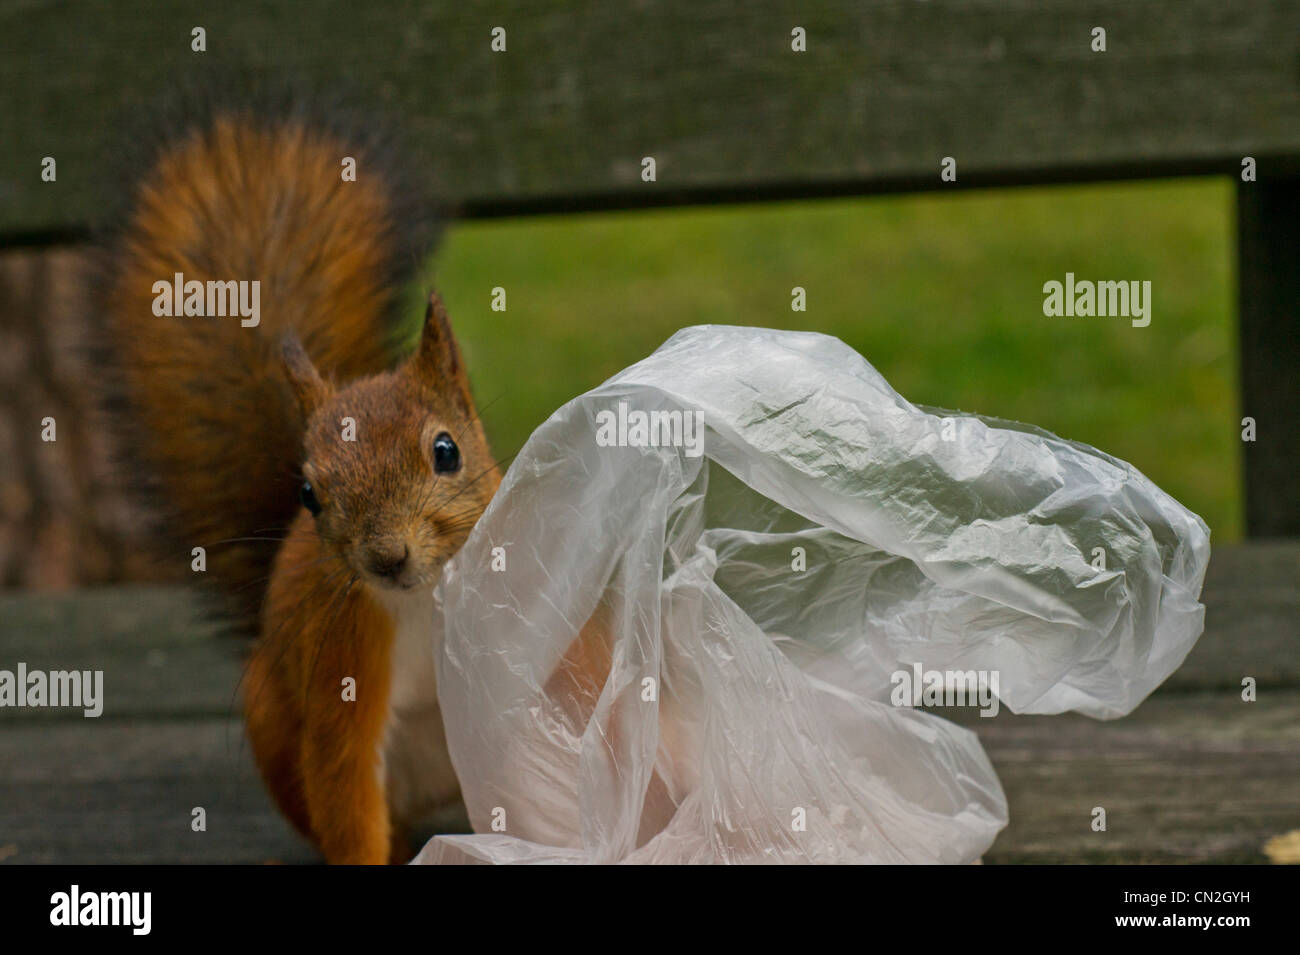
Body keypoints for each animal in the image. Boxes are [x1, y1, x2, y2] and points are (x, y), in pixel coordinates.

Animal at [95, 95, 502, 864]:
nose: (387, 557)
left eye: (446, 451)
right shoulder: (342, 659)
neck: (421, 599)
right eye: (310, 493)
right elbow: (345, 782)